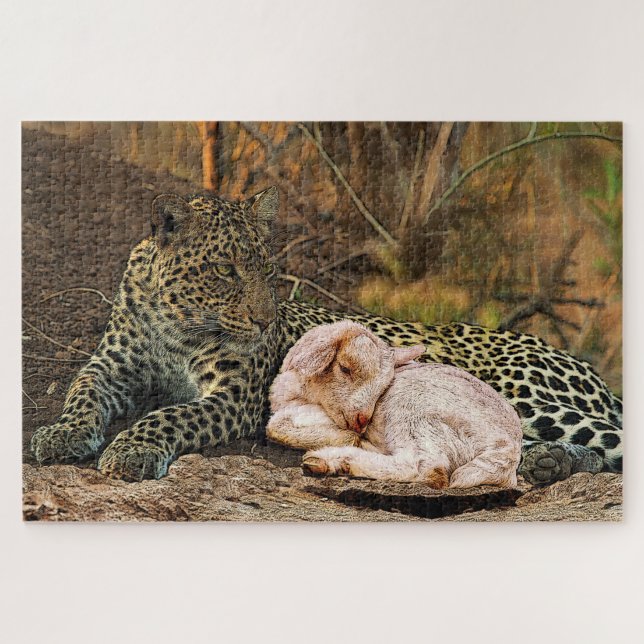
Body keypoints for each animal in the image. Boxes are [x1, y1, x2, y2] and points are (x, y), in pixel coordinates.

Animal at [30, 187, 623, 486]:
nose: (265, 321)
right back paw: (550, 464)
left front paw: (131, 449)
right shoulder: (109, 366)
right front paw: (62, 434)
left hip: (519, 394)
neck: (177, 322)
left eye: (268, 270)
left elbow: (171, 414)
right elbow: (81, 393)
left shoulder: (236, 396)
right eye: (224, 270)